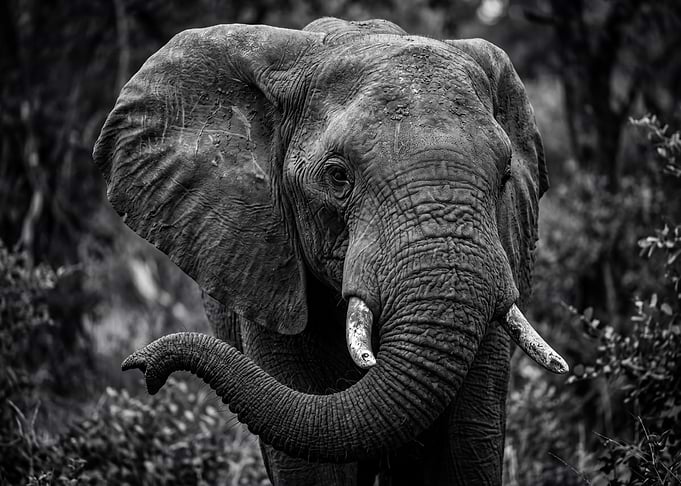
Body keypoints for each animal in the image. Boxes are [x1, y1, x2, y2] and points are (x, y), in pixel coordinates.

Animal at [93, 17, 568, 486]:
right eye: (338, 177)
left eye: (505, 176)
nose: (143, 369)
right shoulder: (267, 272)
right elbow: (310, 465)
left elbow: (467, 449)